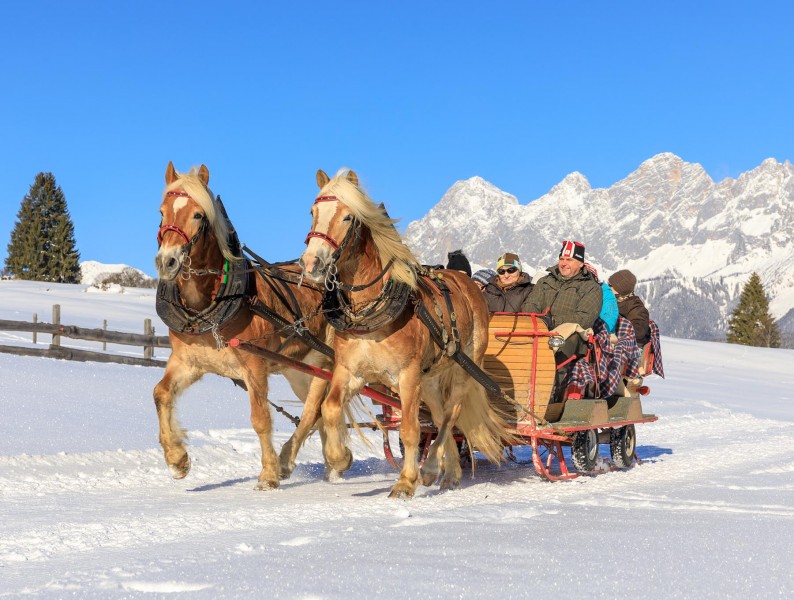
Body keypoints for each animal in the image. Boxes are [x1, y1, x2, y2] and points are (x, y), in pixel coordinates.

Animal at [153, 162, 342, 490]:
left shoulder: (254, 367)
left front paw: (267, 474)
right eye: (162, 212)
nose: (167, 262)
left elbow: (260, 419)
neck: (208, 307)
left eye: (198, 215)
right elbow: (161, 393)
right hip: (299, 370)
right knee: (319, 416)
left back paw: (294, 461)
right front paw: (177, 459)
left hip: (325, 363)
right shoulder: (188, 362)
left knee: (312, 412)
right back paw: (334, 464)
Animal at [296, 168, 508, 496]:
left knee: (451, 414)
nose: (311, 262)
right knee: (439, 416)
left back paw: (431, 468)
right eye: (312, 212)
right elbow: (329, 409)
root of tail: (467, 283)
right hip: (430, 378)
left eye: (348, 216)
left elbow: (410, 429)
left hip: (464, 367)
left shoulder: (406, 375)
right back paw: (448, 473)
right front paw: (340, 459)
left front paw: (406, 481)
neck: (369, 312)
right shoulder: (351, 372)